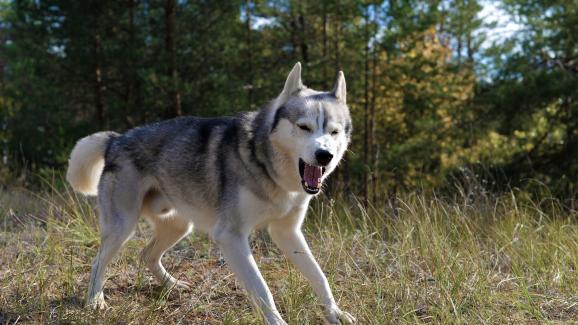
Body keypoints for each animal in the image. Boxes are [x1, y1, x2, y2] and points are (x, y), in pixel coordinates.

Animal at [65, 63, 354, 324]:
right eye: (304, 127)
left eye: (334, 132)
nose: (324, 155)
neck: (267, 166)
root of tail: (116, 139)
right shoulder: (231, 236)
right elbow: (262, 289)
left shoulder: (287, 232)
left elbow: (318, 276)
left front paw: (335, 313)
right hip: (123, 228)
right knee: (98, 263)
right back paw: (95, 301)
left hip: (180, 226)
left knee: (146, 254)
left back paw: (173, 285)